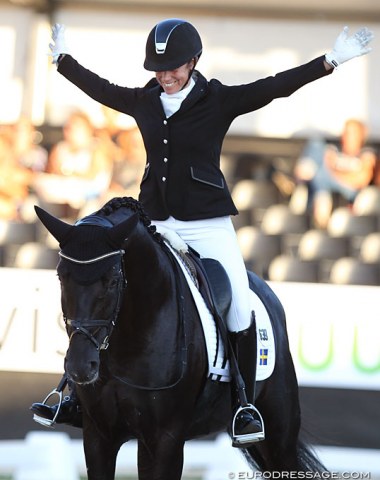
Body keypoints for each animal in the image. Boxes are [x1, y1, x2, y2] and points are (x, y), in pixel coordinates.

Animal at [34, 197, 326, 478]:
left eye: (113, 280)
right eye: (60, 277)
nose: (80, 367)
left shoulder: (165, 440)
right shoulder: (98, 437)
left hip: (279, 435)